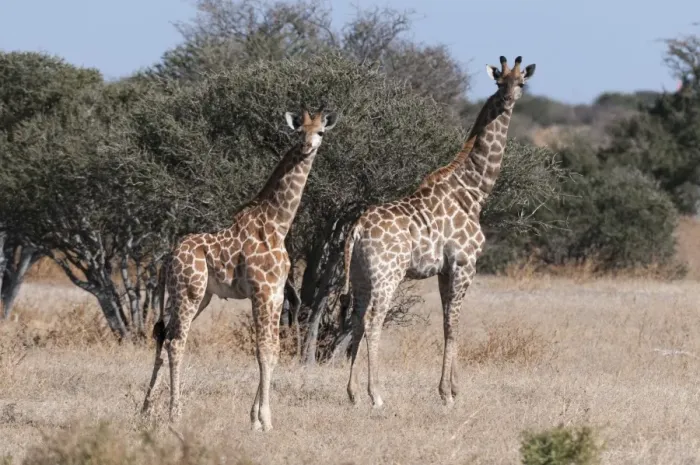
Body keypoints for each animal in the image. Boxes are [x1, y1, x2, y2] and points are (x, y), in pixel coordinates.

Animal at [140, 106, 338, 432]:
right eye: (299, 131)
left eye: (320, 131)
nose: (307, 146)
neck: (278, 224)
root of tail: (168, 258)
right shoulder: (261, 291)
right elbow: (263, 350)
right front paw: (265, 420)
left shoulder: (277, 295)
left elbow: (273, 351)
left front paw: (256, 418)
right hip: (189, 292)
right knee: (176, 341)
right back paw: (175, 414)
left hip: (195, 295)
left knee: (162, 335)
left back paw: (146, 410)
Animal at [340, 55, 535, 408]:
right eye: (499, 82)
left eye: (521, 82)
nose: (508, 99)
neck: (473, 191)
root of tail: (358, 228)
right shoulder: (464, 264)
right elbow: (454, 323)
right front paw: (447, 394)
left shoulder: (445, 270)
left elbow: (446, 321)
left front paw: (452, 388)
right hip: (387, 274)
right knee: (374, 320)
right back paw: (376, 395)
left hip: (360, 274)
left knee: (358, 318)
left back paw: (353, 393)